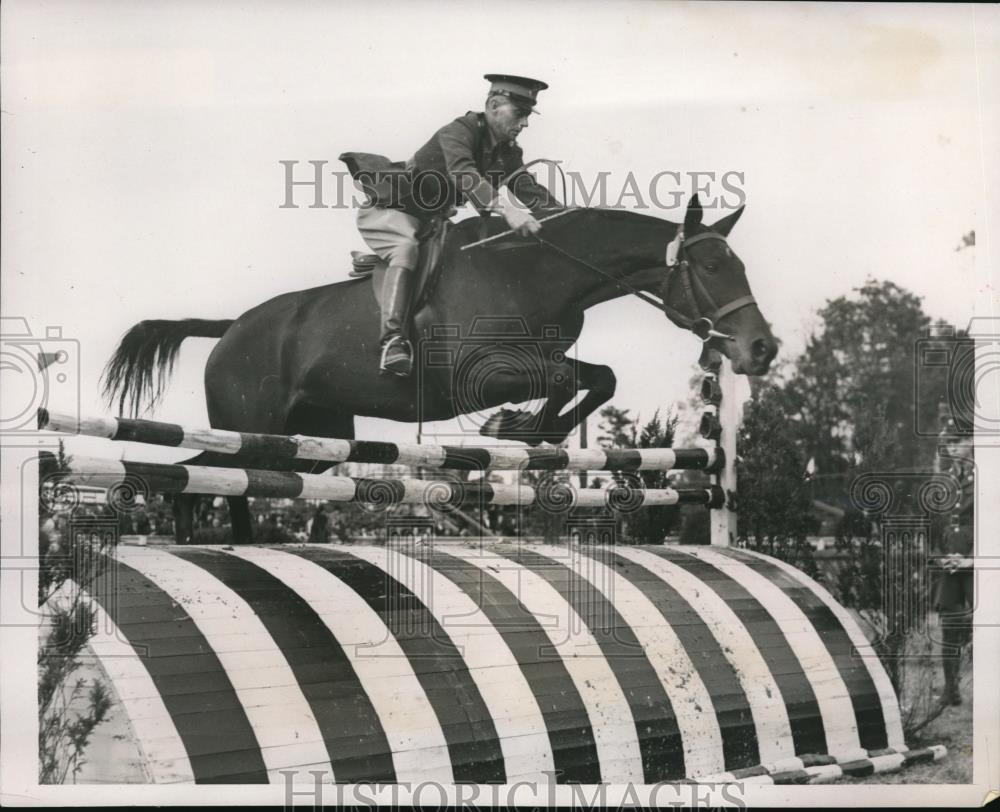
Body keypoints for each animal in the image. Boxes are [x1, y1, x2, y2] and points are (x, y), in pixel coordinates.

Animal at [103, 193, 772, 544]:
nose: (760, 348)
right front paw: (513, 430)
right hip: (253, 426)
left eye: (740, 265)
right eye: (713, 267)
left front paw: (533, 433)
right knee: (206, 474)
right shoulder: (480, 375)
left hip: (313, 438)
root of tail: (231, 328)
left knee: (227, 477)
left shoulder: (539, 358)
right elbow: (562, 380)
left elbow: (597, 376)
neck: (534, 272)